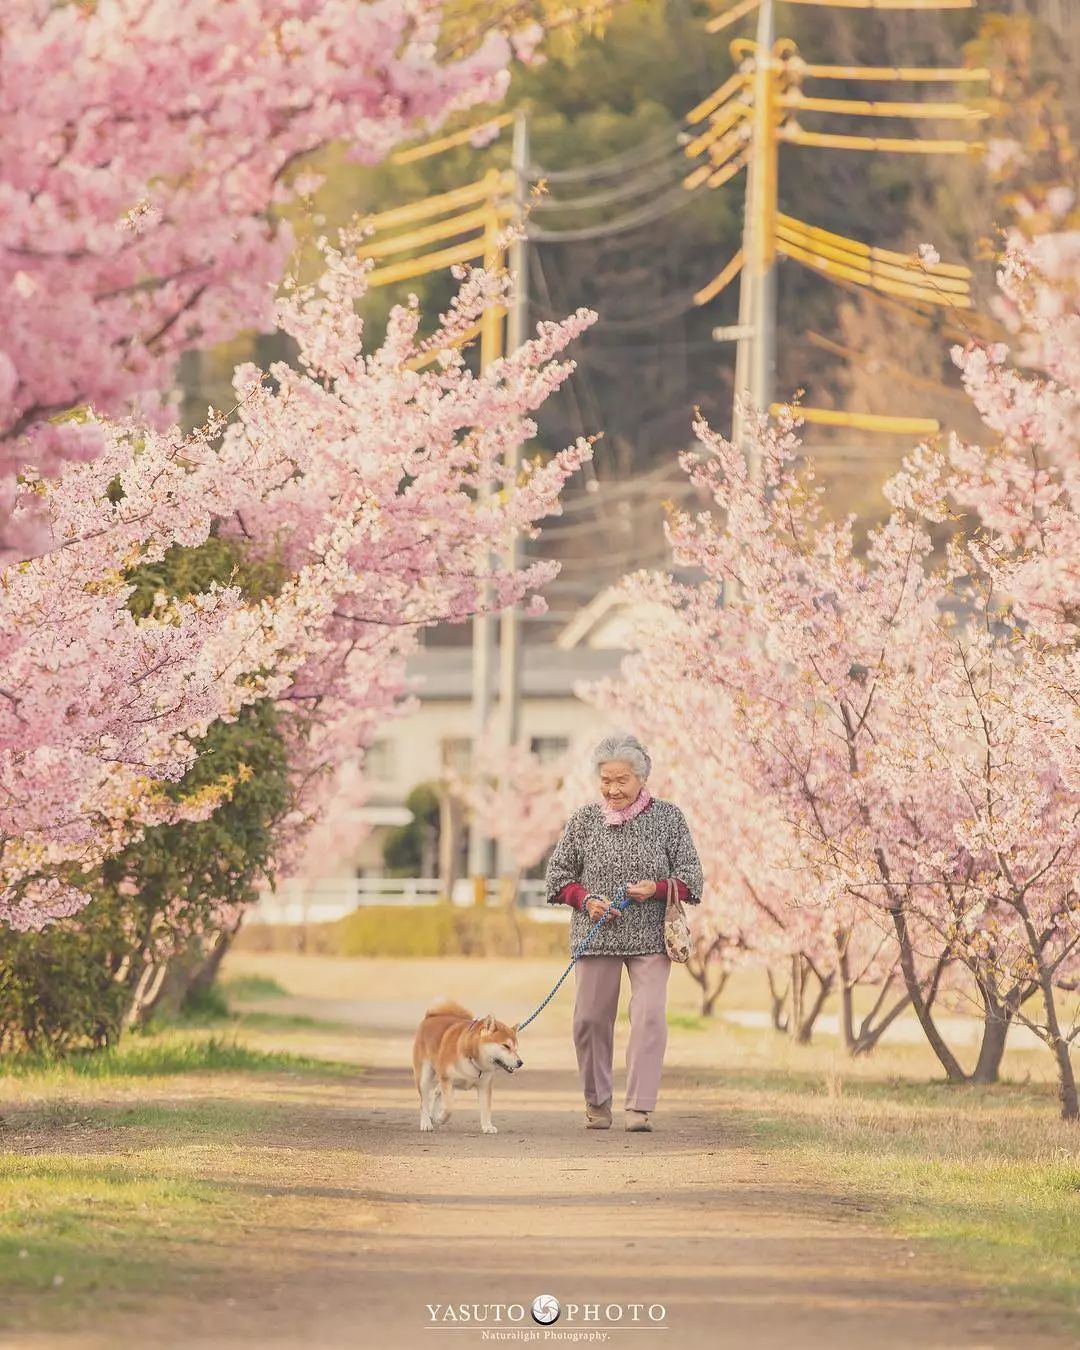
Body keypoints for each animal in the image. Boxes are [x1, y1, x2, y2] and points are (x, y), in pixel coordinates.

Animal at [410, 999, 526, 1134]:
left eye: (516, 1048)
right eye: (506, 1046)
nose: (520, 1062)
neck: (472, 1058)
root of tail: (430, 1017)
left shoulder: (484, 1086)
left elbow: (486, 1109)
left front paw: (487, 1126)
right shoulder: (447, 1079)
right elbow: (449, 1107)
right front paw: (441, 1118)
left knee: (437, 1090)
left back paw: (433, 1115)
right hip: (425, 1077)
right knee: (424, 1102)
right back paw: (426, 1123)